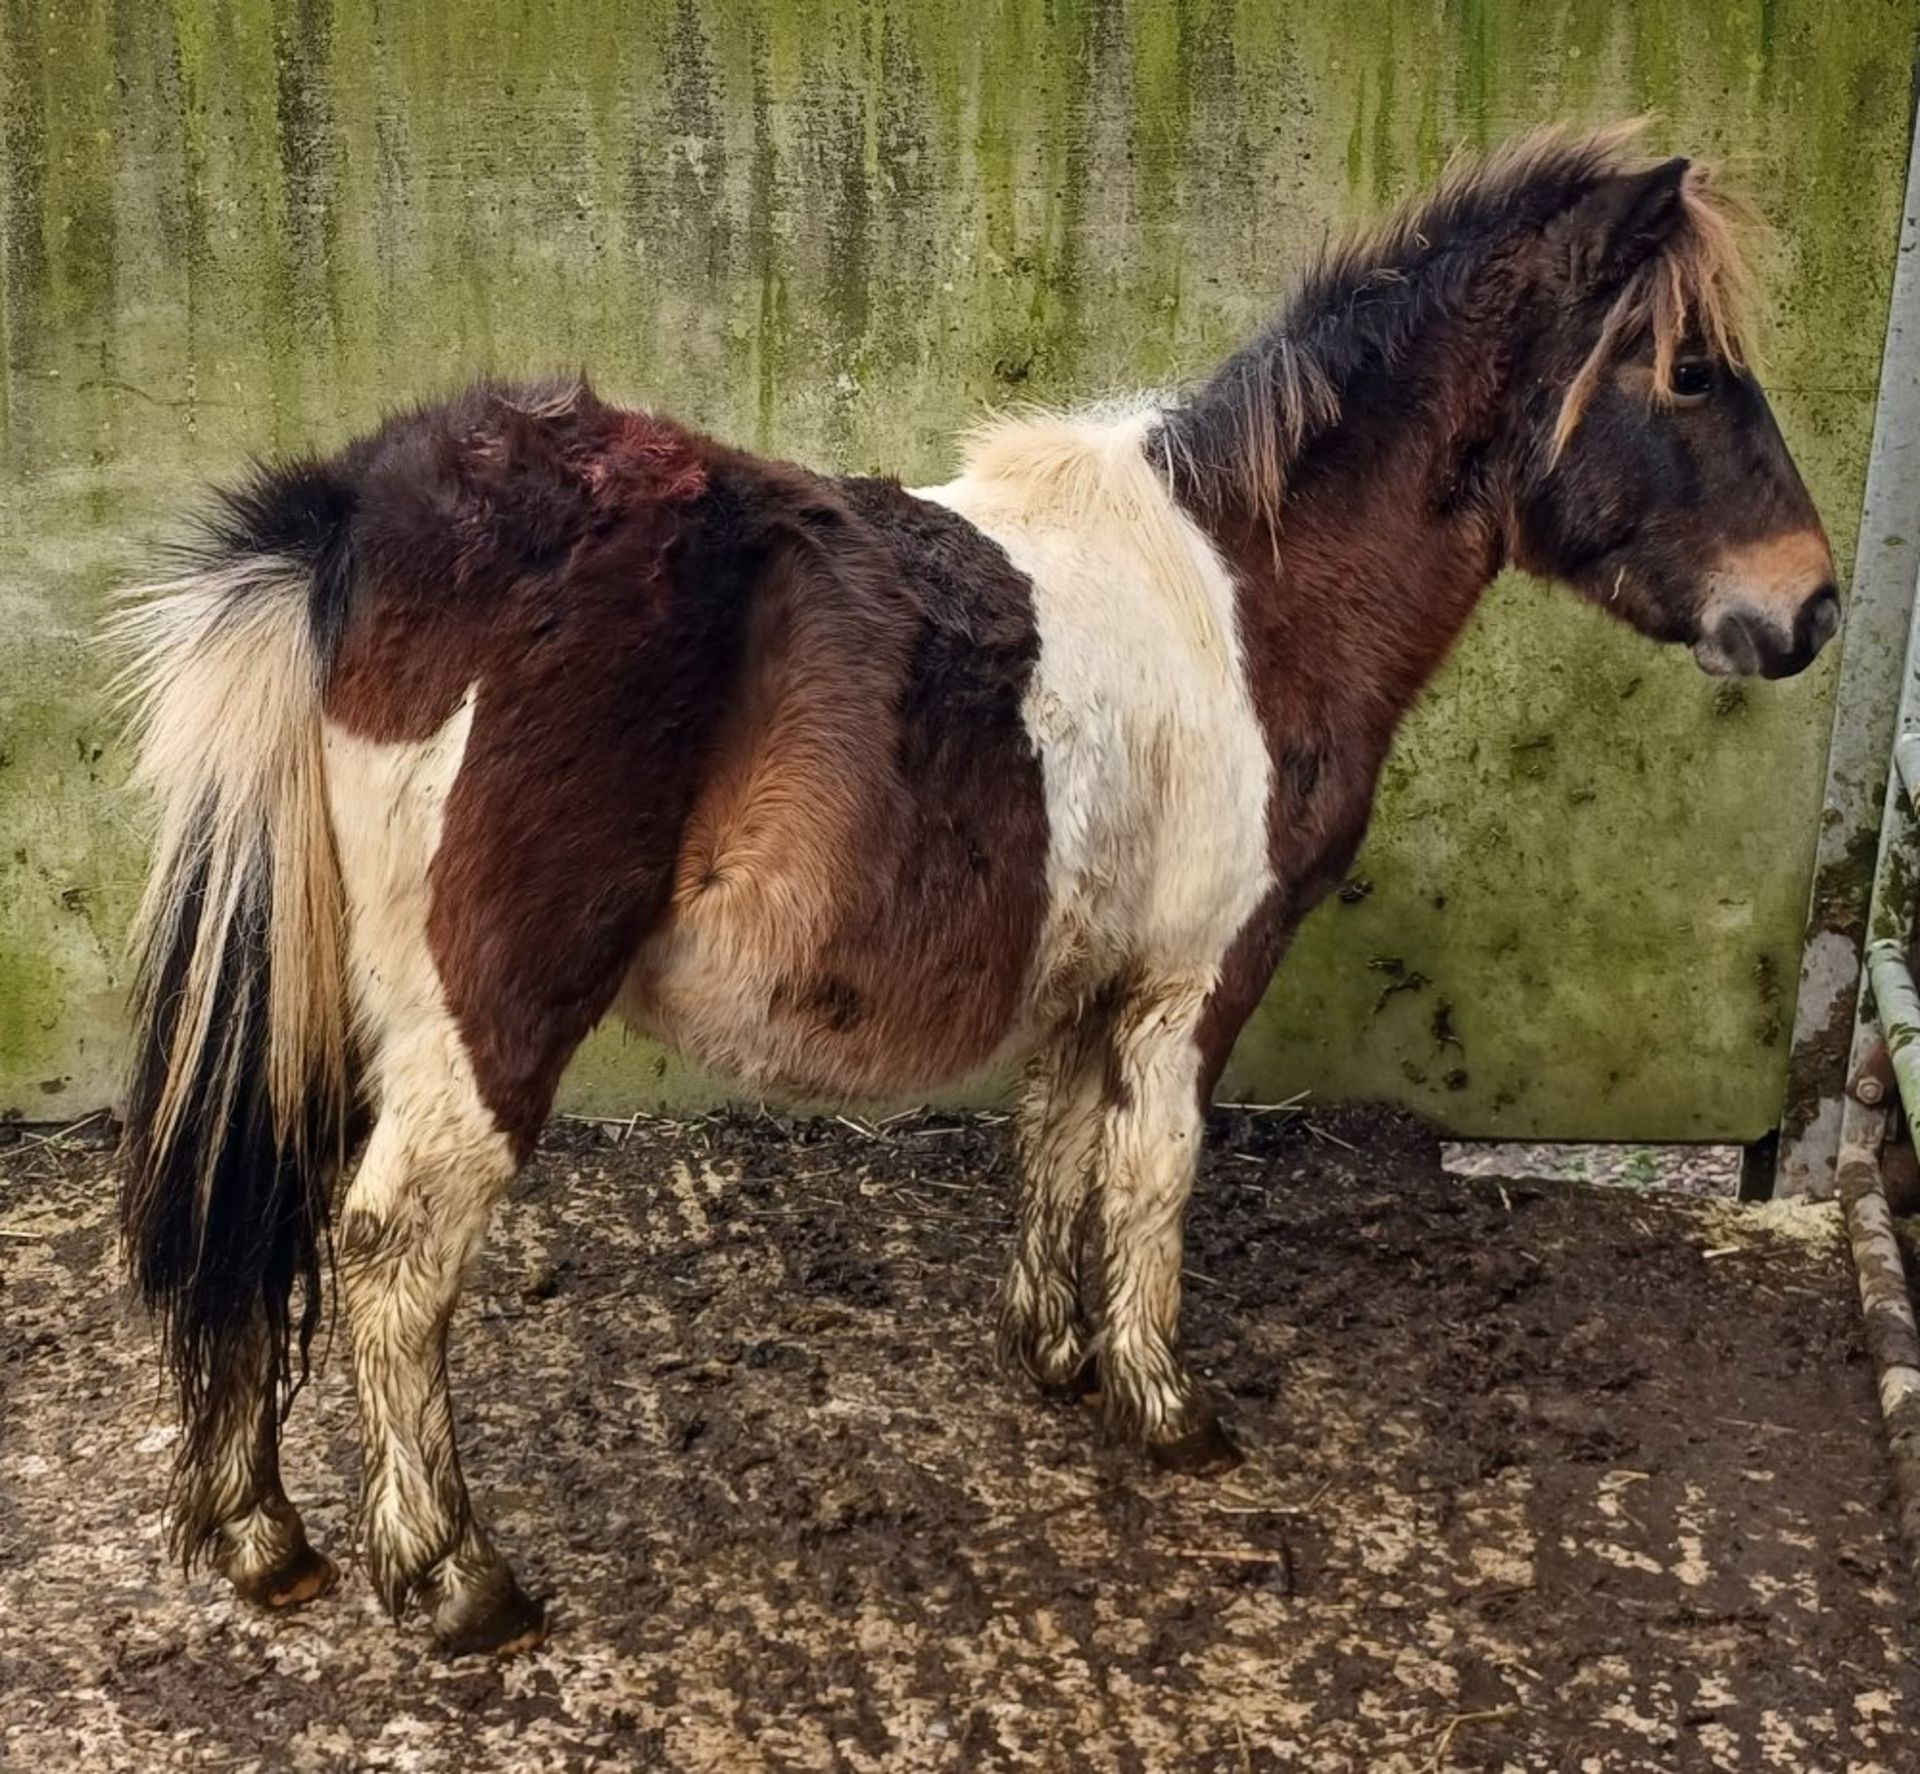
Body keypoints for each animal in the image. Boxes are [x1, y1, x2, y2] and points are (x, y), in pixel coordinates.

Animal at [112, 121, 1835, 1651]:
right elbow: (1154, 1173)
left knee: (267, 1200)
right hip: (481, 1023)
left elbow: (1060, 1146)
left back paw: (262, 1534)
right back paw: (457, 1578)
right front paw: (1165, 1407)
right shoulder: (1197, 977)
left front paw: (1059, 1356)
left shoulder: (1092, 974)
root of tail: (362, 512)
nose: (1813, 607)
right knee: (392, 1255)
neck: (1244, 590)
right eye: (1689, 372)